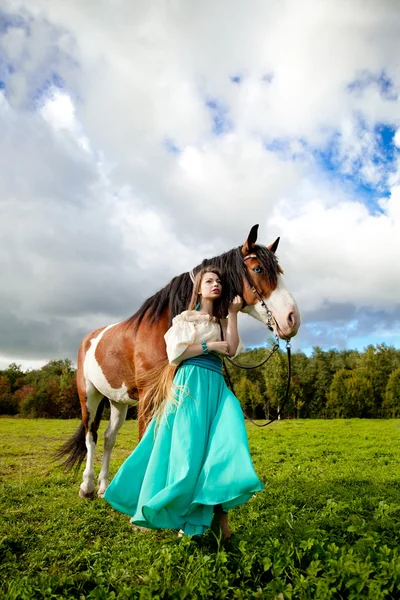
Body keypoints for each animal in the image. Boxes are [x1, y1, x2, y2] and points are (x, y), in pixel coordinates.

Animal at [56, 224, 300, 496]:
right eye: (258, 269)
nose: (292, 319)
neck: (164, 327)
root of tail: (89, 338)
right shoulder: (148, 396)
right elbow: (145, 439)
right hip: (88, 395)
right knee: (91, 436)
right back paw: (87, 486)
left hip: (117, 401)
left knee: (109, 438)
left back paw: (103, 487)